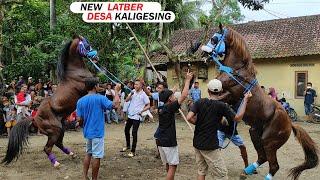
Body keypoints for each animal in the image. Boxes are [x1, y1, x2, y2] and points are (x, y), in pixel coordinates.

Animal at [1, 34, 96, 167]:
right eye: (87, 45)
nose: (96, 56)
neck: (75, 71)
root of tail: (34, 118)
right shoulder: (87, 85)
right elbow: (100, 83)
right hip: (55, 131)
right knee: (47, 148)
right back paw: (56, 163)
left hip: (60, 129)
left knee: (58, 144)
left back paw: (72, 155)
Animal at [202, 24, 318, 180]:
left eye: (214, 38)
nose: (203, 54)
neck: (237, 71)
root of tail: (290, 123)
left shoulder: (230, 95)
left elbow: (215, 96)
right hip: (255, 134)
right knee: (263, 157)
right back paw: (246, 171)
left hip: (269, 141)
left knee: (273, 165)